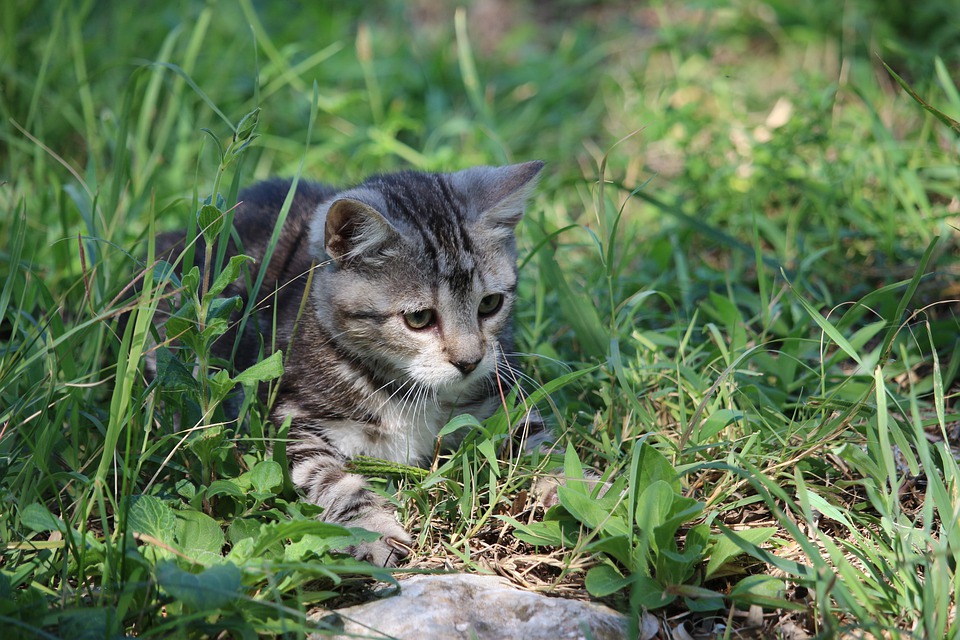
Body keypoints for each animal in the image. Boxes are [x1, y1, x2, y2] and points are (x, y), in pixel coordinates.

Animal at [158, 162, 548, 568]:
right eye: (419, 318)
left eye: (489, 304)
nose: (469, 361)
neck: (410, 389)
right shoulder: (288, 420)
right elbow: (330, 479)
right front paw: (373, 529)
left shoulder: (500, 396)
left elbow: (536, 443)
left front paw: (564, 487)